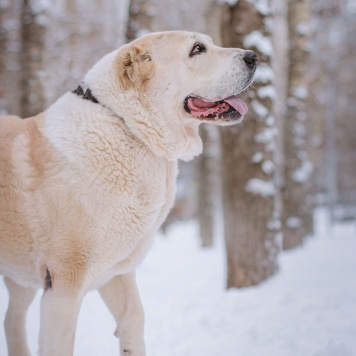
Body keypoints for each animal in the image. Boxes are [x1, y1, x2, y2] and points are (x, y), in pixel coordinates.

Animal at [0, 31, 256, 356]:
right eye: (197, 49)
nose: (254, 57)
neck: (129, 128)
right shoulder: (62, 284)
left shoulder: (117, 274)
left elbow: (134, 318)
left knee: (12, 319)